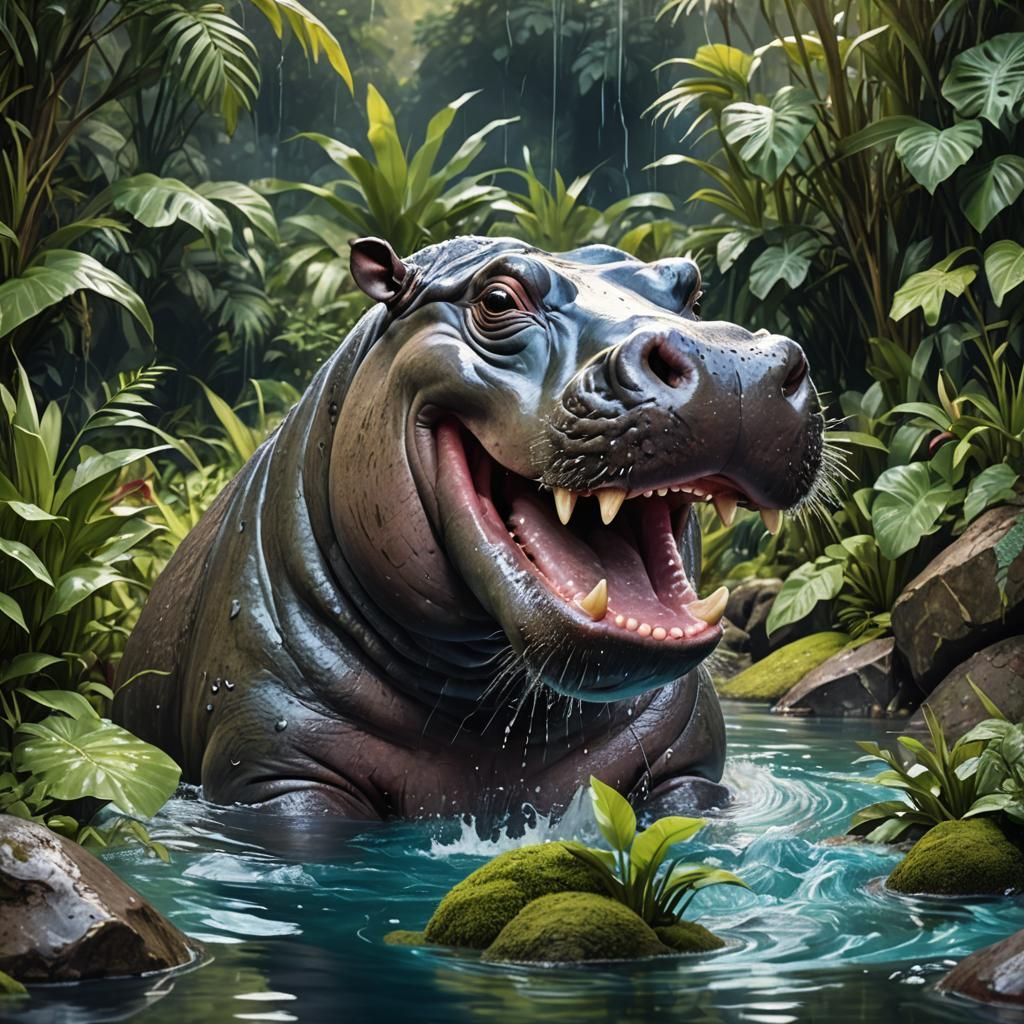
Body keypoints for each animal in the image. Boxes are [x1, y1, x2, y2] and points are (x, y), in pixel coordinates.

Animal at [114, 236, 823, 823]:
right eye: (497, 298)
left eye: (691, 289)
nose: (732, 361)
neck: (487, 707)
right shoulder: (278, 776)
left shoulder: (685, 773)